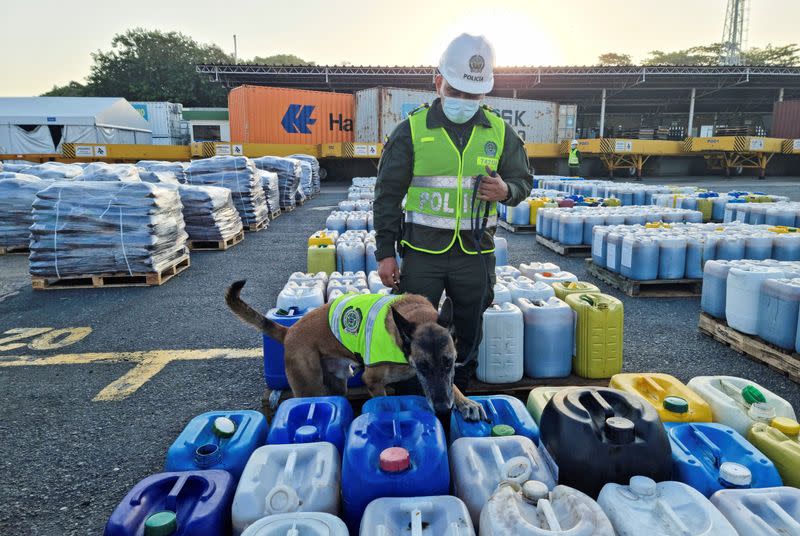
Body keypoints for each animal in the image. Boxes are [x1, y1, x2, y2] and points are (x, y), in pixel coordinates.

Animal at [227, 278, 488, 420]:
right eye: (423, 366)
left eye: (449, 362)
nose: (443, 410)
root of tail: (288, 331)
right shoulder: (373, 381)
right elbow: (384, 401)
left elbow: (451, 385)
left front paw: (466, 402)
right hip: (309, 388)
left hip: (337, 384)